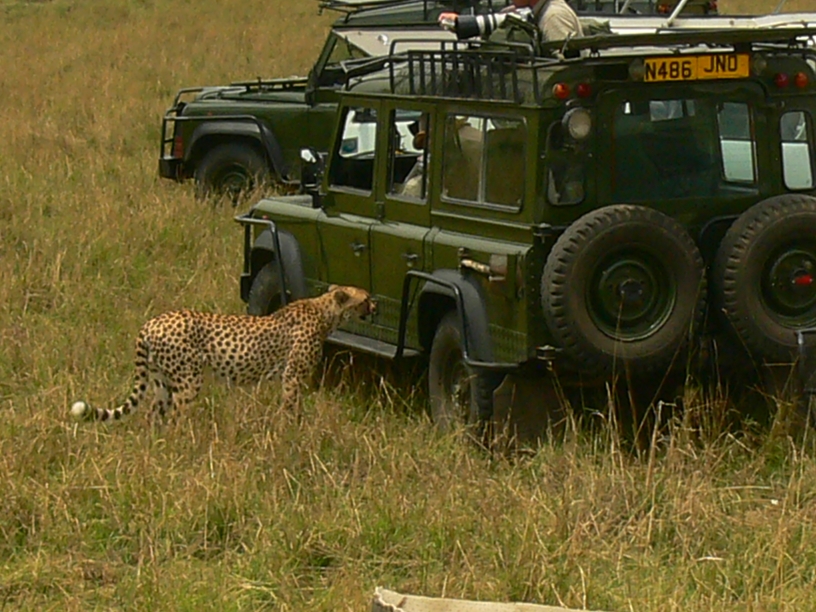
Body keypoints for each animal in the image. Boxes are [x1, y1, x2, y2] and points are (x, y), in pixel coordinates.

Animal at [70, 285, 376, 422]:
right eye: (365, 298)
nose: (376, 306)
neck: (325, 311)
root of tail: (151, 322)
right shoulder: (292, 376)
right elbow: (291, 407)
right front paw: (291, 433)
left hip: (161, 382)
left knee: (155, 415)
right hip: (188, 380)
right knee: (177, 415)